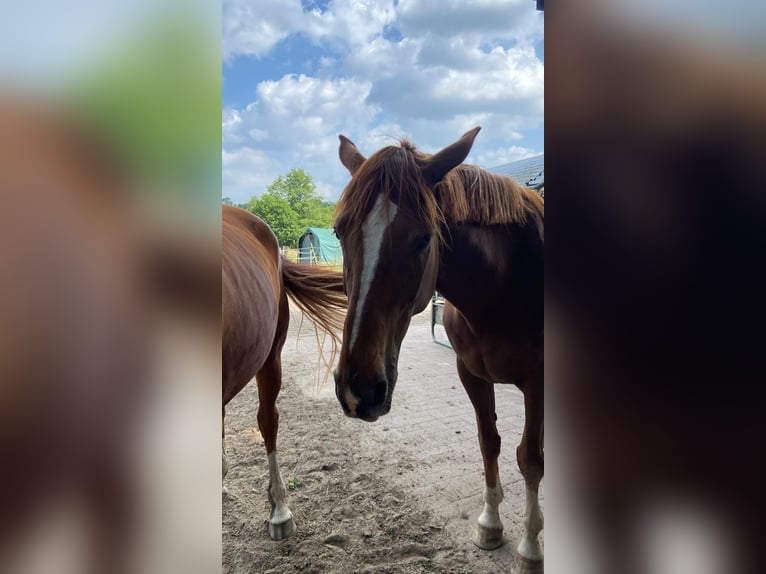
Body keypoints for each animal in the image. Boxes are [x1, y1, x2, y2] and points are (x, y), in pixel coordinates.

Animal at [332, 128, 544, 564]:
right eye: (340, 232)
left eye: (422, 239)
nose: (359, 390)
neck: (505, 288)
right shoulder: (472, 375)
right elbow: (489, 443)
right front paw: (490, 524)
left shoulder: (538, 384)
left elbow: (530, 459)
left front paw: (531, 546)